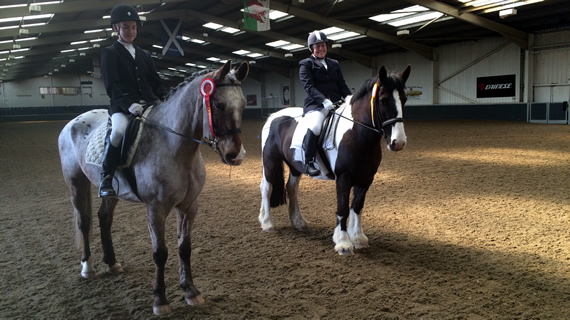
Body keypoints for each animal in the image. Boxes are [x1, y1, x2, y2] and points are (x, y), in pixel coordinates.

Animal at [58, 60, 248, 316]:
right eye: (218, 104)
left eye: (244, 105)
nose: (235, 155)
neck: (177, 148)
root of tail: (73, 121)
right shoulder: (156, 209)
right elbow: (160, 253)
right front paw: (160, 300)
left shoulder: (189, 206)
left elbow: (184, 248)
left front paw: (191, 292)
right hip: (76, 182)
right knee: (84, 221)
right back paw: (88, 268)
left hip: (112, 191)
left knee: (104, 218)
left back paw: (112, 263)